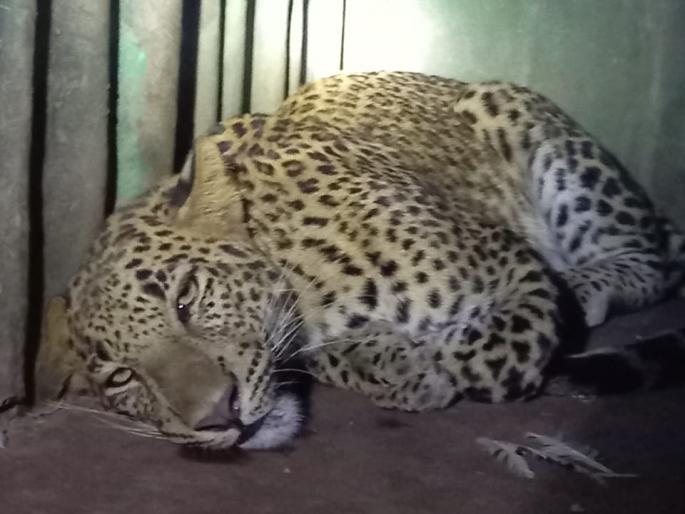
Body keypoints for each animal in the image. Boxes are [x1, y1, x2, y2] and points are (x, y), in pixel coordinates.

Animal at [35, 71, 685, 452]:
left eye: (186, 296)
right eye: (121, 377)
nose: (219, 417)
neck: (306, 284)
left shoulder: (514, 269)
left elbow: (486, 354)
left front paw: (424, 364)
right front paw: (393, 363)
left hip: (533, 132)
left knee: (653, 261)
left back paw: (585, 286)